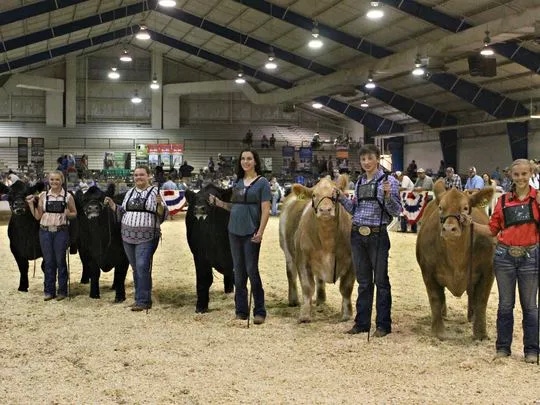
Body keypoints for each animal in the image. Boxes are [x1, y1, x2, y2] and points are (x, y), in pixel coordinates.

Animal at [186, 183, 234, 312]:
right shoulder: (200, 256)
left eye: (213, 199)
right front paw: (201, 307)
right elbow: (204, 280)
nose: (199, 208)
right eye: (196, 199)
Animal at [278, 174, 354, 322]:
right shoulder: (302, 260)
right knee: (291, 274)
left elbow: (346, 288)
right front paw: (305, 315)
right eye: (314, 195)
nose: (325, 210)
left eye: (335, 194)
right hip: (287, 249)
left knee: (319, 279)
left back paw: (321, 299)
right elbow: (307, 287)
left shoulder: (352, 262)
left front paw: (346, 314)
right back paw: (293, 300)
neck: (327, 240)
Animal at [416, 178, 496, 340]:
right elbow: (435, 298)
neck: (456, 258)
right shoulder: (427, 272)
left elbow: (481, 301)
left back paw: (471, 316)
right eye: (441, 207)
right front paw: (438, 331)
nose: (449, 229)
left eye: (465, 208)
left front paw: (481, 333)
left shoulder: (488, 271)